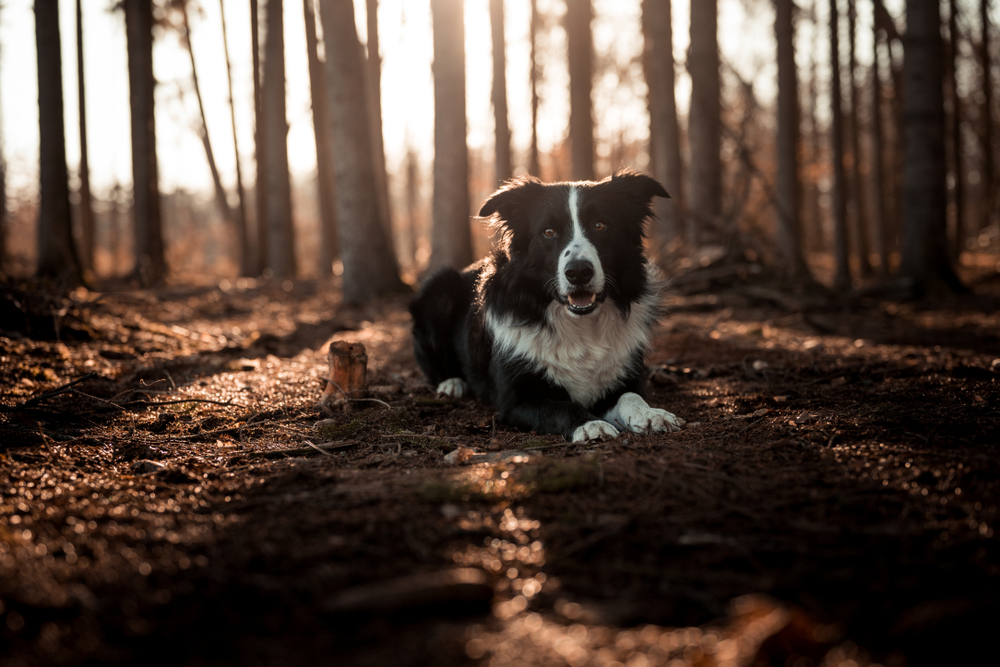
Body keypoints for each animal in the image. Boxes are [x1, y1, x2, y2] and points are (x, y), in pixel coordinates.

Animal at [410, 172, 684, 444]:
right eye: (549, 232)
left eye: (600, 225)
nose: (579, 272)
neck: (580, 324)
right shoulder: (516, 401)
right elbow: (563, 407)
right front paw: (590, 424)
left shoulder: (621, 378)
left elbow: (631, 396)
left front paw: (651, 414)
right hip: (438, 290)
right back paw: (452, 384)